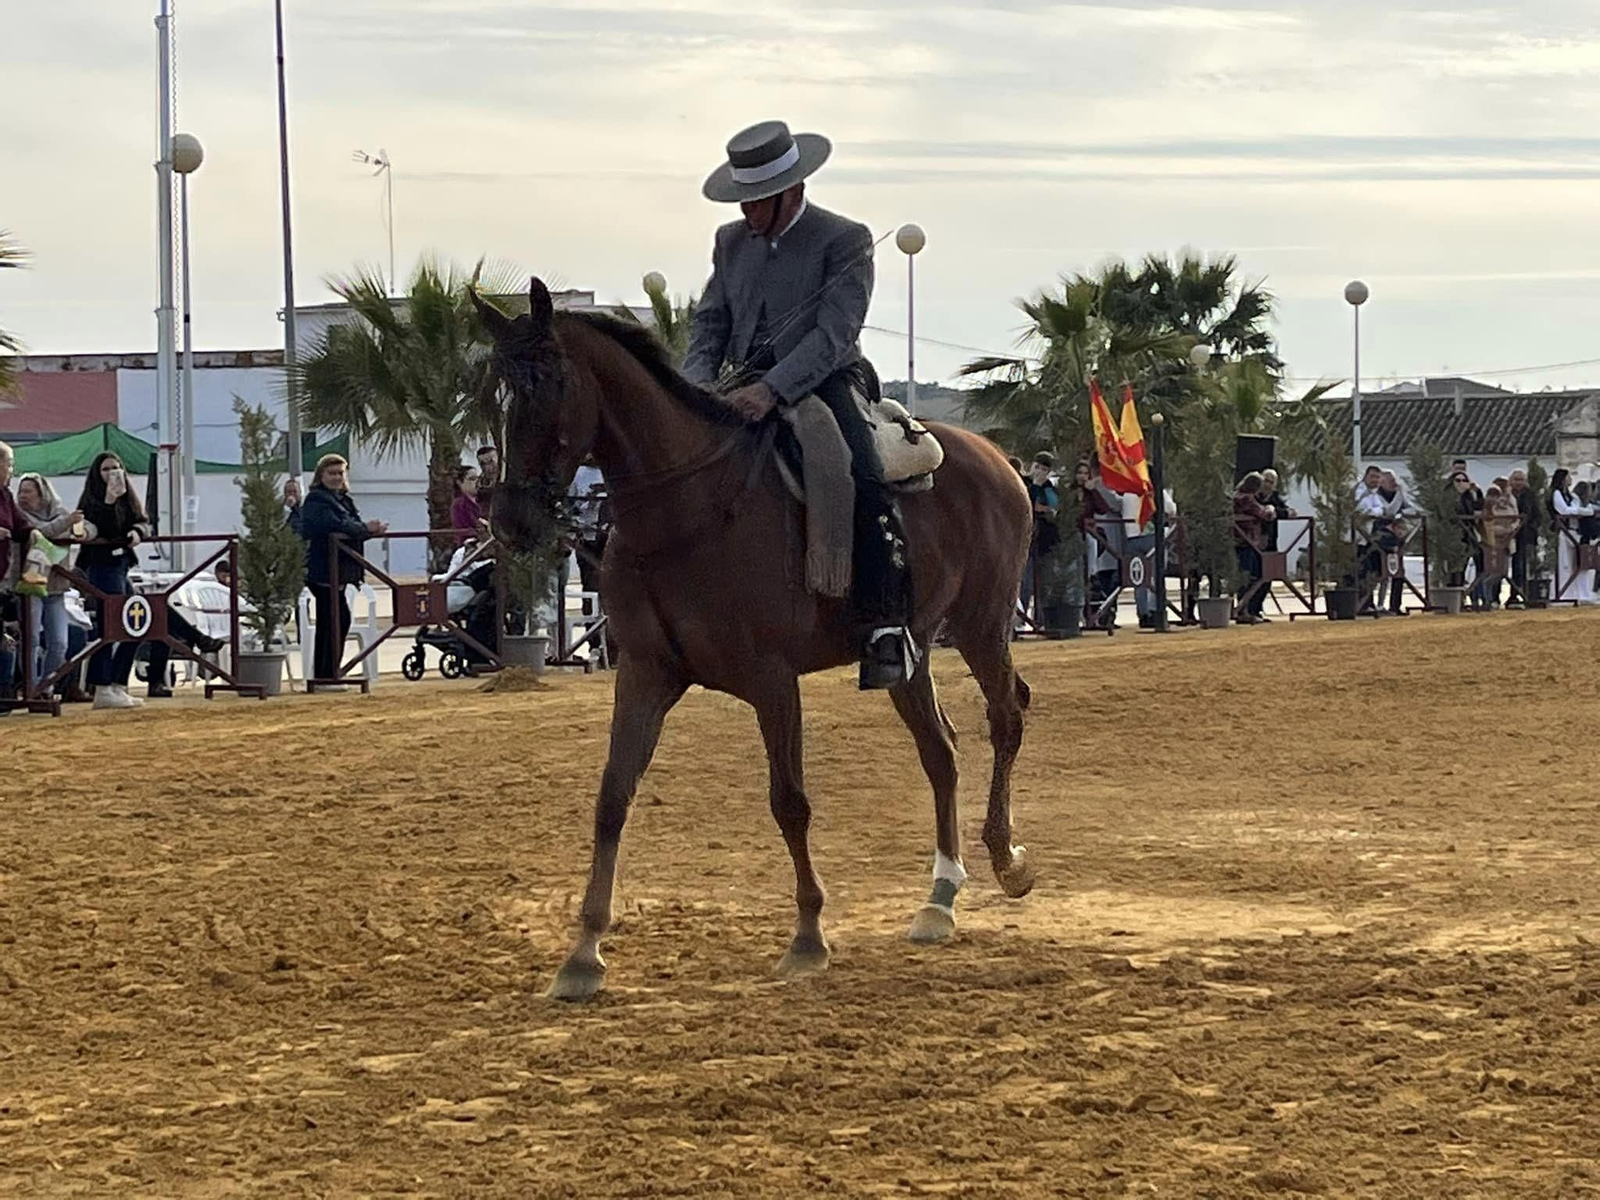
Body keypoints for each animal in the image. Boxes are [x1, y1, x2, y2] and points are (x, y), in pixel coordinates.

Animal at [474, 278, 1036, 1002]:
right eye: (494, 390)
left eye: (549, 380)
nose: (510, 519)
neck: (688, 510)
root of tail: (997, 458)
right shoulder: (645, 675)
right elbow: (612, 798)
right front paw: (584, 951)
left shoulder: (773, 680)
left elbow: (789, 802)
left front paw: (808, 937)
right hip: (908, 652)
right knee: (940, 752)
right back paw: (940, 897)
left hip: (981, 626)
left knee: (1006, 718)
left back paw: (1006, 858)